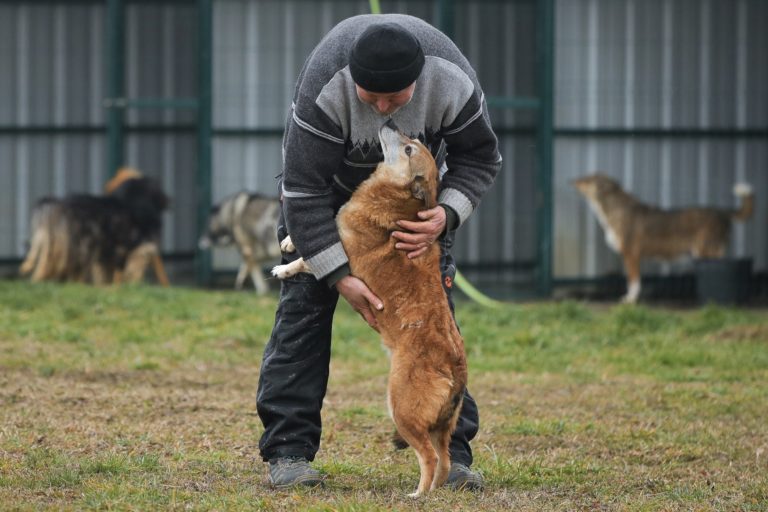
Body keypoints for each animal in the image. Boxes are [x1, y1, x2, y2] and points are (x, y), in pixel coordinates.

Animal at [572, 175, 752, 304]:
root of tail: (723, 212)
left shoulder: (631, 254)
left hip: (705, 251)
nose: (572, 180)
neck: (615, 208)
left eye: (587, 179)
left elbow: (633, 280)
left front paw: (631, 300)